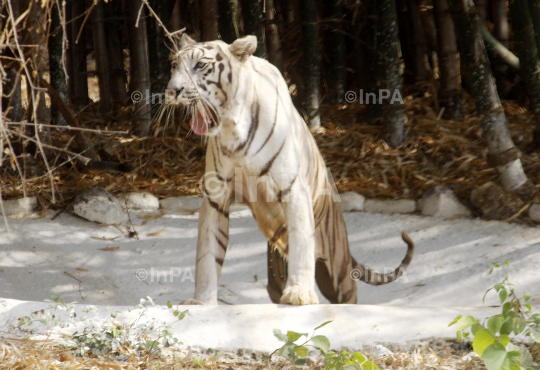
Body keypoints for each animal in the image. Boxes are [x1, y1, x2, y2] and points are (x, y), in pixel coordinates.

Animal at [166, 33, 414, 304]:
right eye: (174, 66)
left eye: (200, 65)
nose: (172, 91)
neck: (232, 129)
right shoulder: (215, 196)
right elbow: (208, 253)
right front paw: (201, 301)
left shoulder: (292, 188)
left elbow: (301, 242)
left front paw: (299, 292)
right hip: (275, 273)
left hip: (336, 265)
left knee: (348, 289)